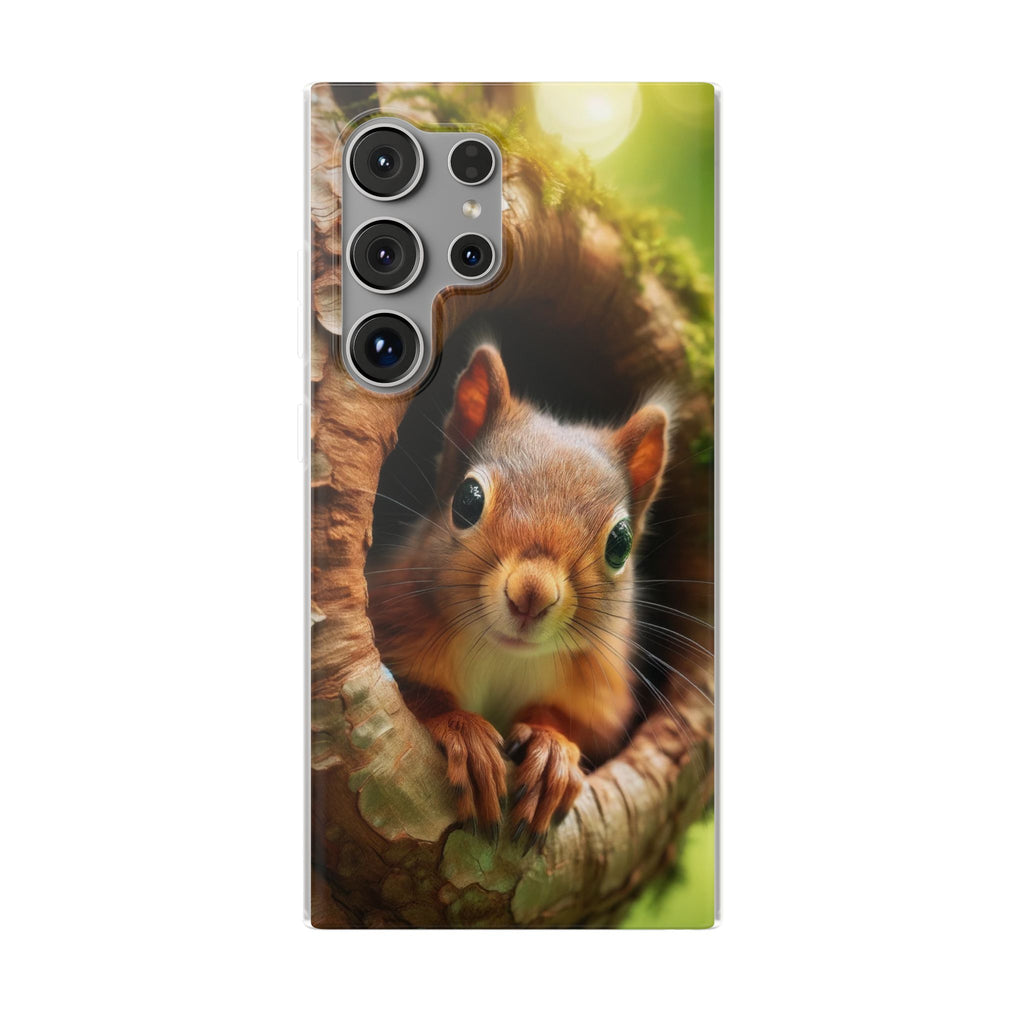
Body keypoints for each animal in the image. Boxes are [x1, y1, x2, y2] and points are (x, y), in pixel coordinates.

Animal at [369, 343, 670, 851]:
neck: (504, 656)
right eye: (467, 501)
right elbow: (415, 694)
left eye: (621, 543)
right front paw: (466, 733)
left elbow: (580, 727)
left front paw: (551, 752)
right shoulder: (393, 616)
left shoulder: (602, 690)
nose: (532, 594)